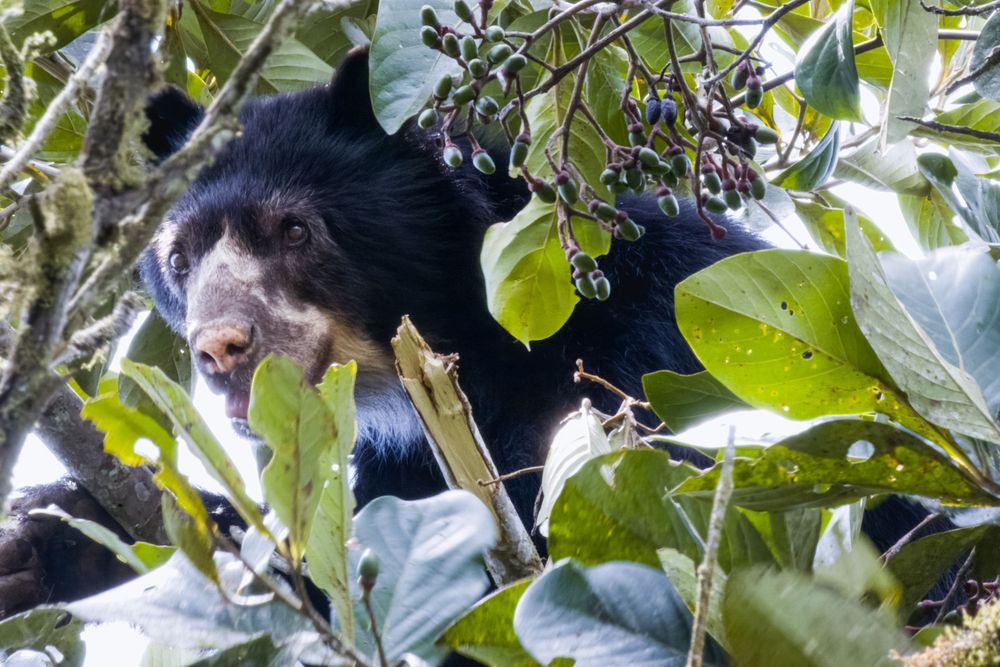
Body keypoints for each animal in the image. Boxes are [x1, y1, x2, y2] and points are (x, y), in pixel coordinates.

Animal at [0, 47, 951, 618]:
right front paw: (51, 539)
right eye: (179, 255)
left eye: (295, 229)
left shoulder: (658, 349)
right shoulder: (401, 452)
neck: (474, 340)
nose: (221, 347)